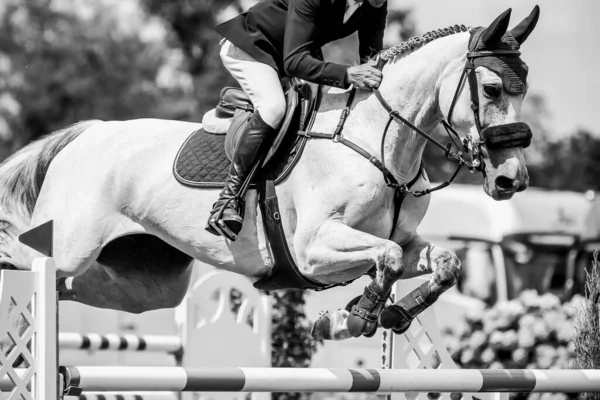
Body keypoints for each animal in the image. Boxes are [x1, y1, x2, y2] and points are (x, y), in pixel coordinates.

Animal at [0, 5, 536, 350]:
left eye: (524, 90)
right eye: (491, 89)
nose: (511, 182)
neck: (377, 141)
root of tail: (84, 135)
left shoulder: (403, 242)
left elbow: (443, 263)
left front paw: (385, 314)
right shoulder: (313, 247)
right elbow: (384, 258)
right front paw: (349, 320)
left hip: (144, 284)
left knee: (74, 289)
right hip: (68, 245)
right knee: (30, 266)